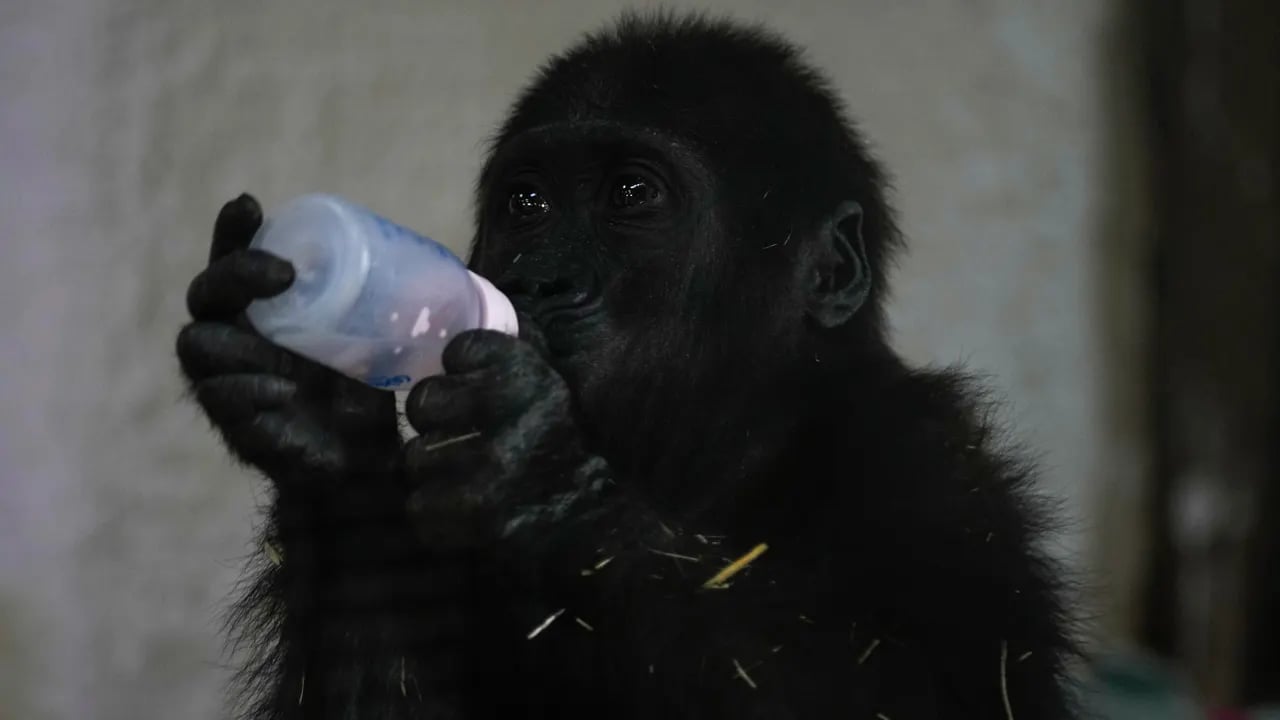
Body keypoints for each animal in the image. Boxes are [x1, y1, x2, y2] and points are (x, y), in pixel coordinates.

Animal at [177, 11, 1080, 717]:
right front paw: (321, 420)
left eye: (632, 195)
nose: (539, 280)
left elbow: (912, 698)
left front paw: (541, 481)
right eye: (528, 203)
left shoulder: (933, 474)